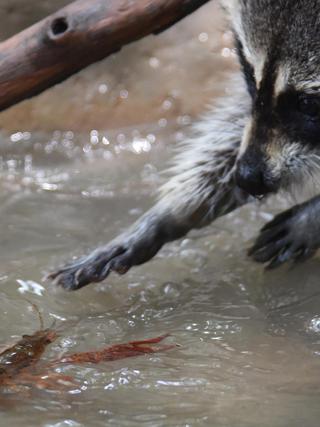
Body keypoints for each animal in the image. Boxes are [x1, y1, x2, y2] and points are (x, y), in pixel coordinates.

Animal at [50, 0, 320, 290]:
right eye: (249, 75)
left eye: (308, 104)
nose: (248, 177)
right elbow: (235, 125)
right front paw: (167, 215)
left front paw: (313, 215)